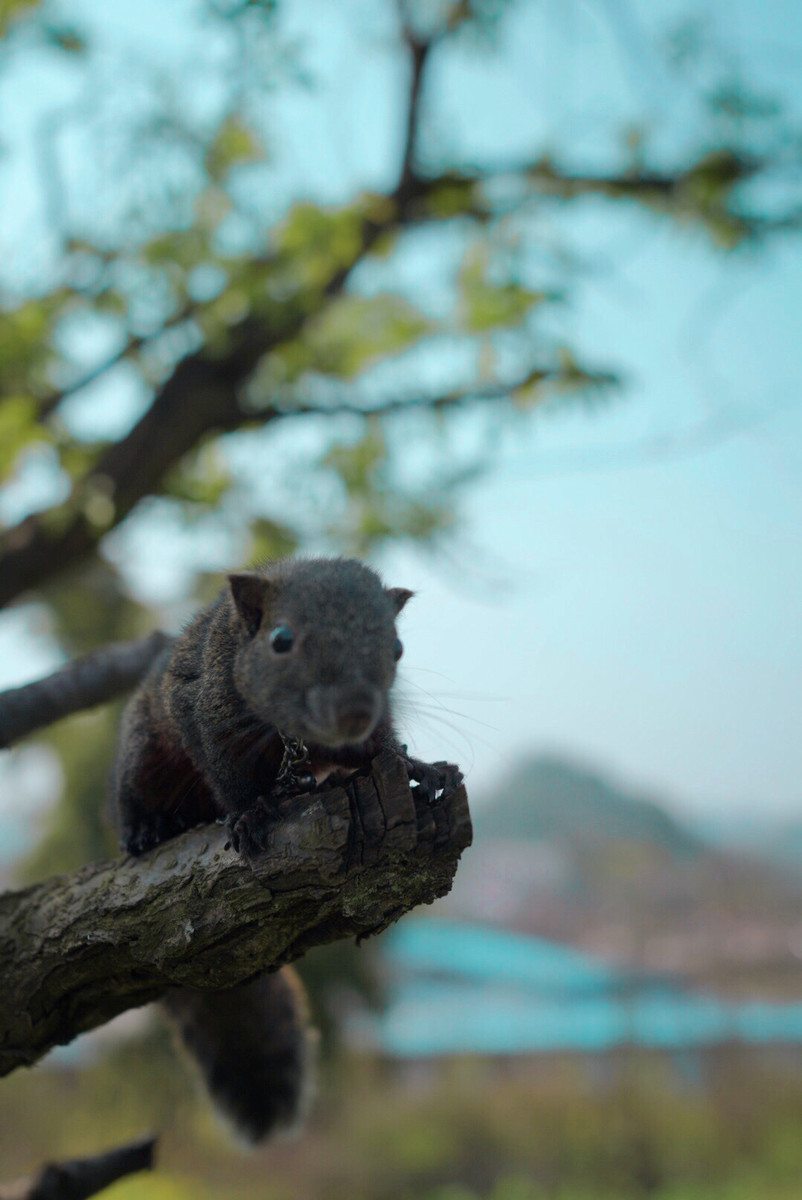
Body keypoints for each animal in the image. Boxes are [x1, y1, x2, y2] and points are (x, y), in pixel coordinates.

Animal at [111, 559, 444, 1142]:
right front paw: (247, 815)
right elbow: (226, 772)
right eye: (281, 640)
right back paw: (149, 828)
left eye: (397, 647)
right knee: (139, 794)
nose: (355, 710)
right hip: (143, 750)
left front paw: (414, 765)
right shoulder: (203, 712)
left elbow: (377, 748)